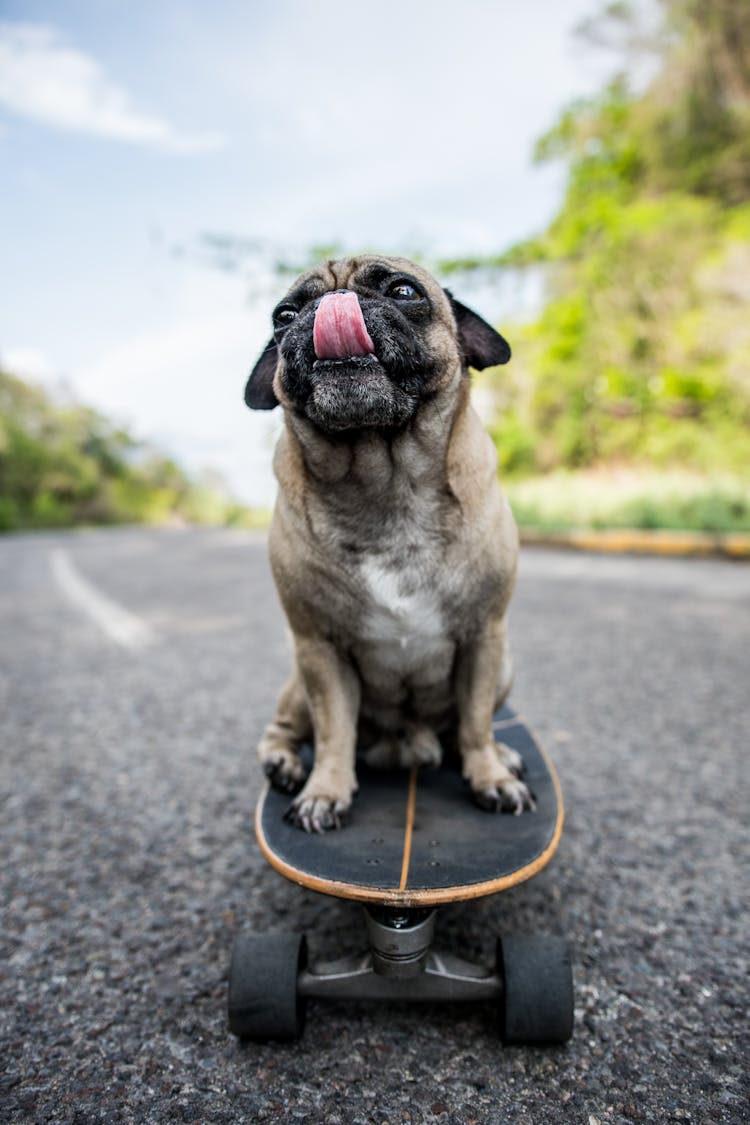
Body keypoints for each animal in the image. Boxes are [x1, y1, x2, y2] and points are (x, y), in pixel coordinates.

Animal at [246, 257, 532, 837]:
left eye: (404, 291)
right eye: (283, 316)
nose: (329, 305)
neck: (385, 482)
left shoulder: (484, 639)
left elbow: (475, 722)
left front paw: (490, 777)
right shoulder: (320, 649)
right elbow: (334, 730)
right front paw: (325, 792)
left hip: (504, 666)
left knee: (464, 731)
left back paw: (499, 758)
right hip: (299, 680)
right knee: (288, 727)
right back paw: (283, 762)